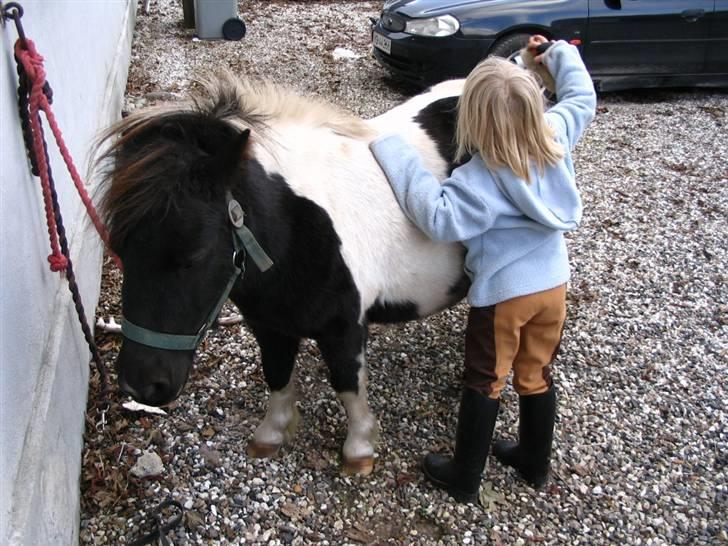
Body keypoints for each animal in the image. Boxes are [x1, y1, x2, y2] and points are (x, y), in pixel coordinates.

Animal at [99, 74, 466, 474]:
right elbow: (276, 373)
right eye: (118, 249)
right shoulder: (269, 325)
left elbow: (347, 384)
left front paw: (359, 449)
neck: (297, 226)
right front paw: (271, 434)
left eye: (194, 253)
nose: (139, 387)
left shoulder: (345, 328)